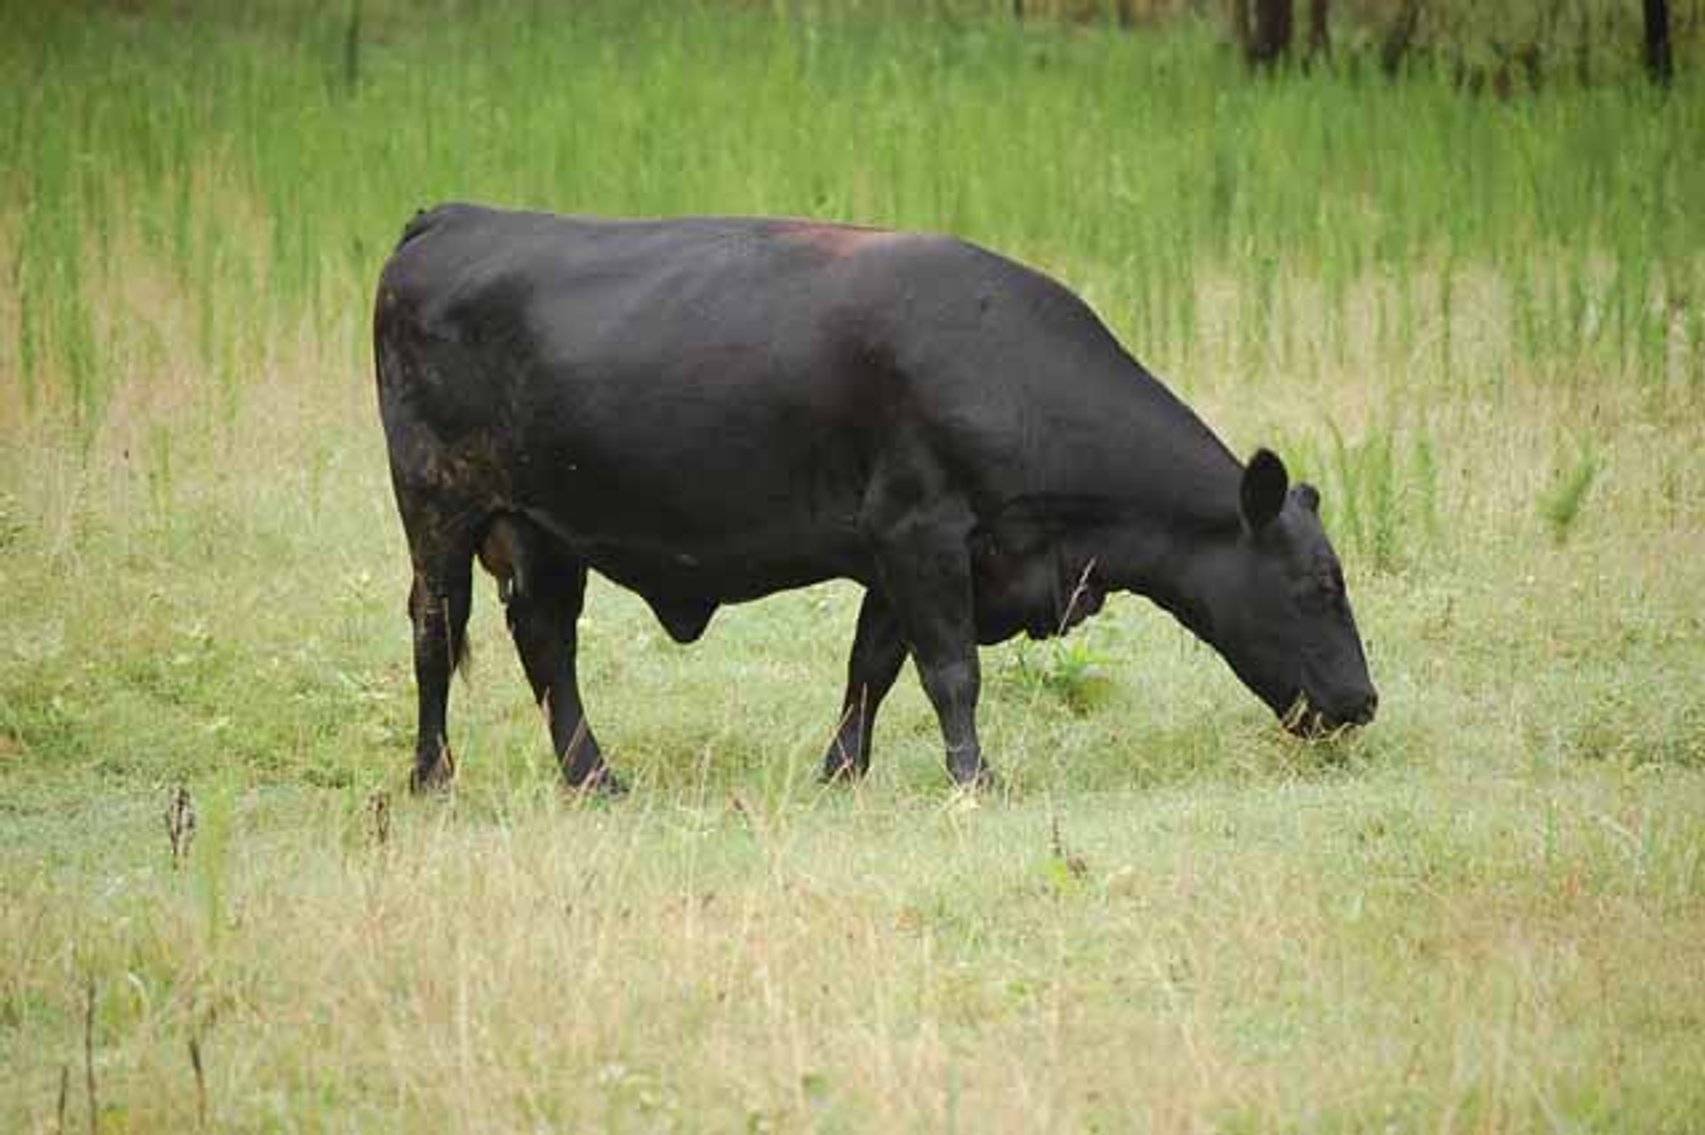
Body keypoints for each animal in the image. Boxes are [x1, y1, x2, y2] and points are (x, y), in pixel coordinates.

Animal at [374, 203, 1377, 794]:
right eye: (1318, 586)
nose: (1363, 700)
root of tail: (450, 218)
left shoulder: (901, 554)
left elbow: (872, 665)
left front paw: (841, 772)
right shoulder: (920, 531)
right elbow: (949, 671)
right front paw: (974, 780)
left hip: (544, 532)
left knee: (548, 644)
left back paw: (594, 777)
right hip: (438, 510)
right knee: (433, 631)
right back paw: (434, 776)